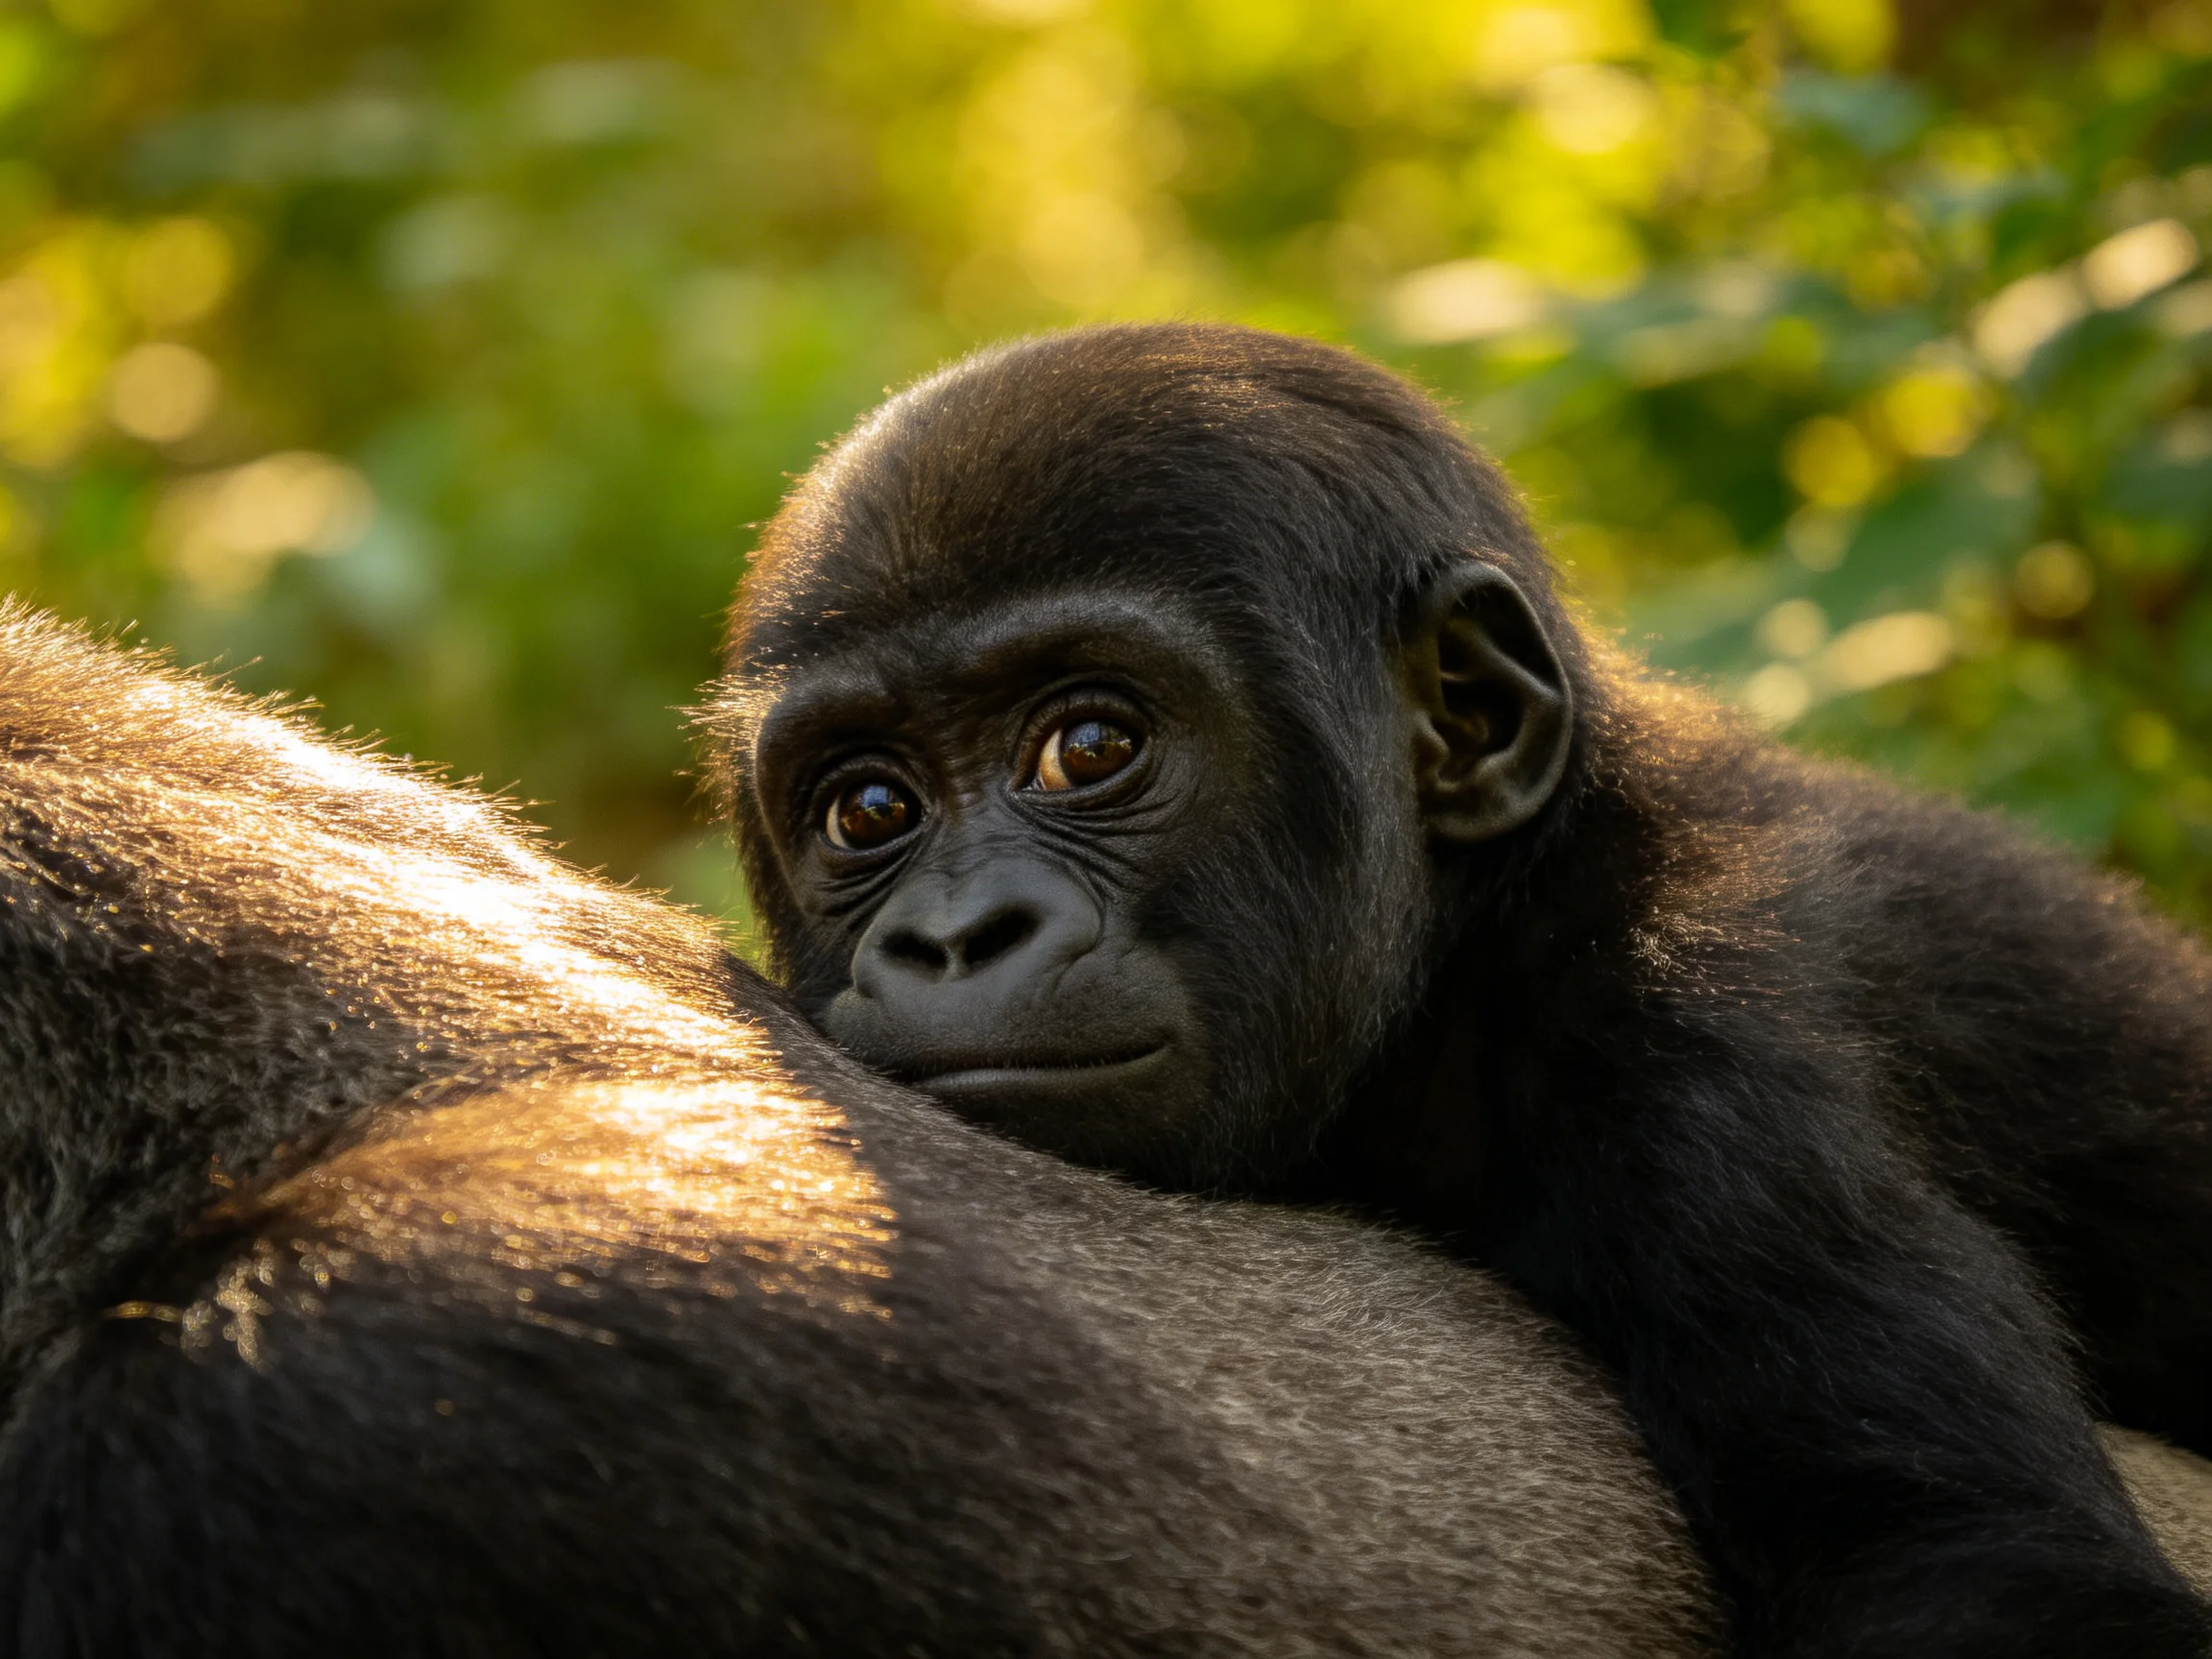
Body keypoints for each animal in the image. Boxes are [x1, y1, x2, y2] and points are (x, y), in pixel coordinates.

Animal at [709, 321, 2212, 1657]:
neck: (1469, 938)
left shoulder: (1689, 1046)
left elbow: (1980, 1565)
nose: (958, 937)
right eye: (869, 809)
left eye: (1090, 746)